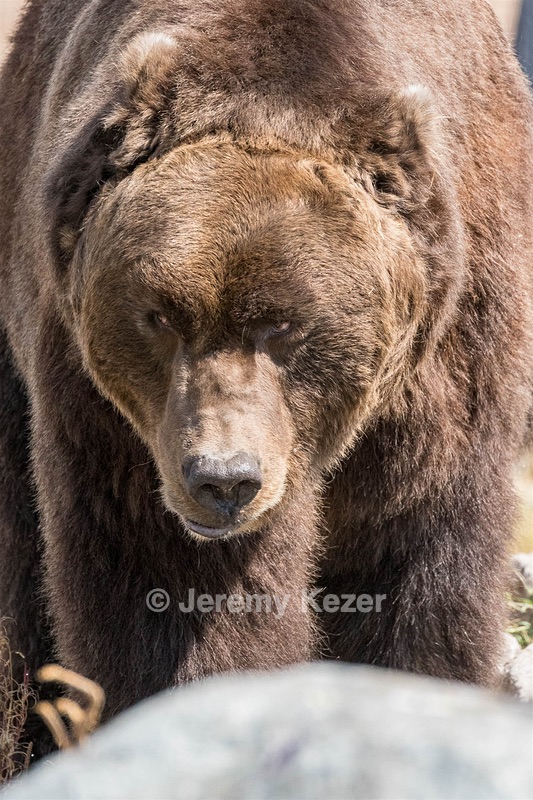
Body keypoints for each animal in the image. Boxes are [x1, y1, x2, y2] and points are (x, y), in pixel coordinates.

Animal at [0, 0, 532, 754]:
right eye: (161, 315)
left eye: (283, 322)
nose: (224, 479)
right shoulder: (116, 420)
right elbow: (172, 587)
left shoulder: (445, 370)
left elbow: (414, 563)